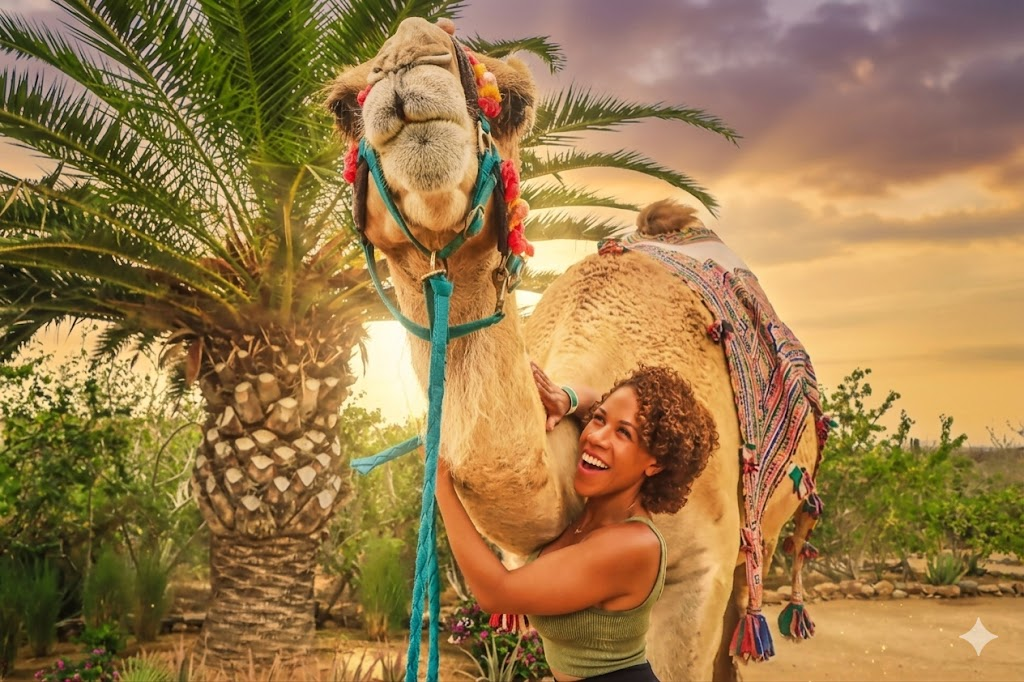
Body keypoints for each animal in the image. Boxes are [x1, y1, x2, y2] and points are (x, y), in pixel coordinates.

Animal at [327, 18, 826, 681]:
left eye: (515, 103)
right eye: (342, 108)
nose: (409, 56)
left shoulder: (701, 572)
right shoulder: (532, 567)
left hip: (761, 534)